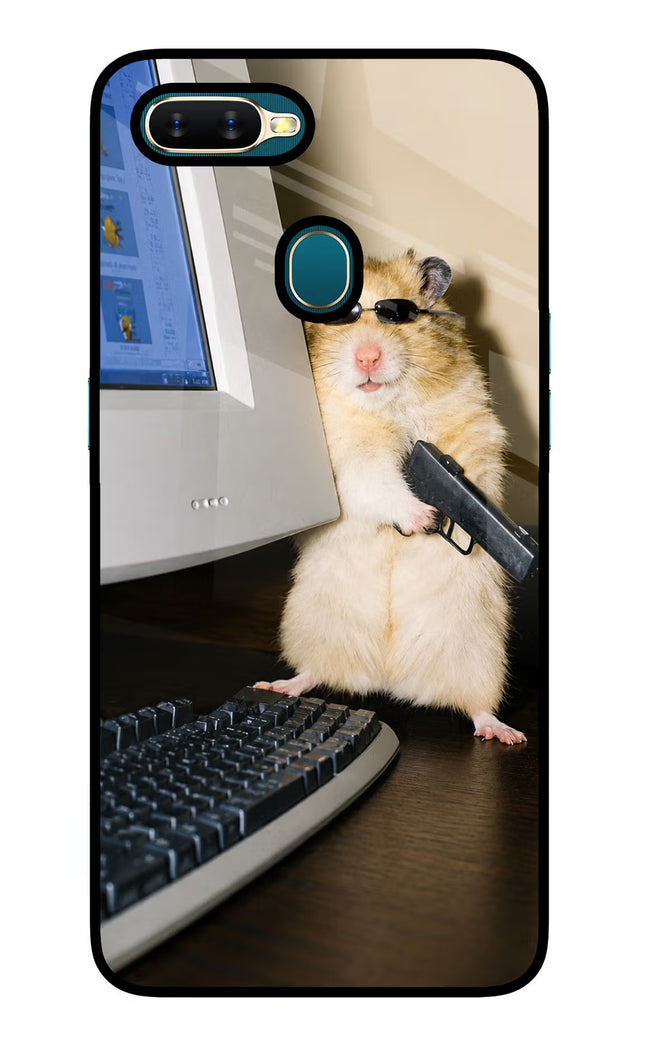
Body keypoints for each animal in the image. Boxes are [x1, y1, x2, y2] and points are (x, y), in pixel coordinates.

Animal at [256, 251, 526, 744]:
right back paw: (278, 685)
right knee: (313, 672)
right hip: (311, 626)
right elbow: (378, 482)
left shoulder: (472, 428)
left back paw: (505, 733)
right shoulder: (347, 458)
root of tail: (388, 678)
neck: (387, 404)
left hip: (479, 654)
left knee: (477, 706)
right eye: (341, 316)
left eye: (396, 315)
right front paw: (423, 518)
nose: (367, 357)